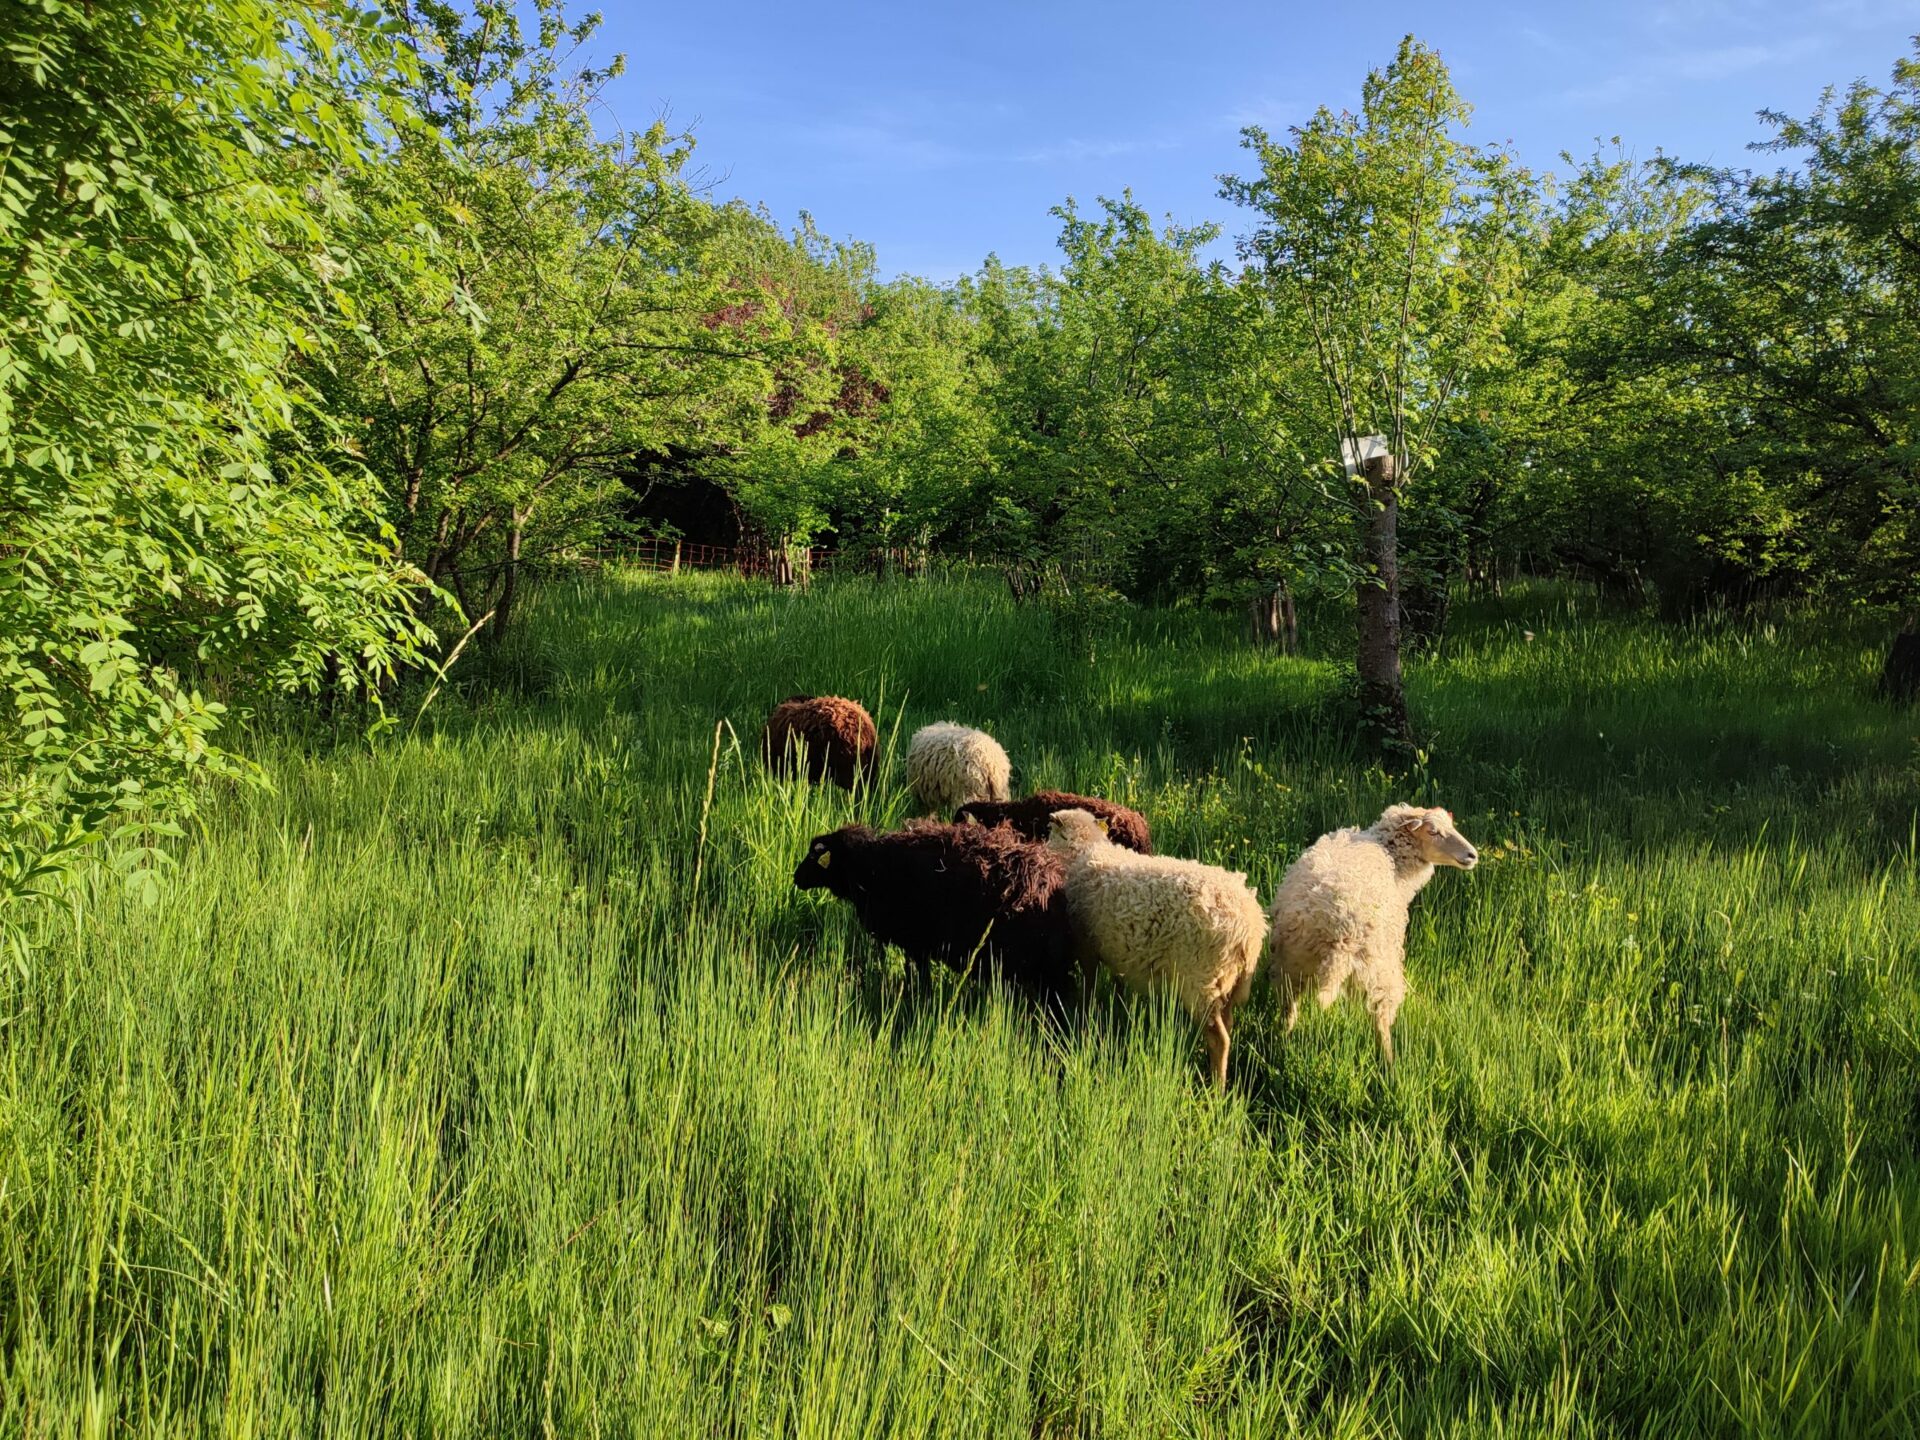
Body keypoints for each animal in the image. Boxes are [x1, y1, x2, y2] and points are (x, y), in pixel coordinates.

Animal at [1044, 806, 1267, 1090]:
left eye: (1050, 832)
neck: (1084, 853)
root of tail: (1251, 927)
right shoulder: (1115, 949)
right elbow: (1117, 980)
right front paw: (1118, 1004)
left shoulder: (1086, 946)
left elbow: (1090, 984)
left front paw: (1087, 1012)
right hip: (1226, 981)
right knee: (1227, 1024)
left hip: (1201, 979)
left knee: (1219, 1038)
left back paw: (1216, 1087)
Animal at [1274, 806, 1482, 1067]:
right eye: (1433, 831)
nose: (1472, 855)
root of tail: (1341, 934)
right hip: (1380, 969)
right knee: (1381, 1019)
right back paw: (1389, 1064)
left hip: (1294, 961)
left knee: (1289, 1006)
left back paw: (1283, 1041)